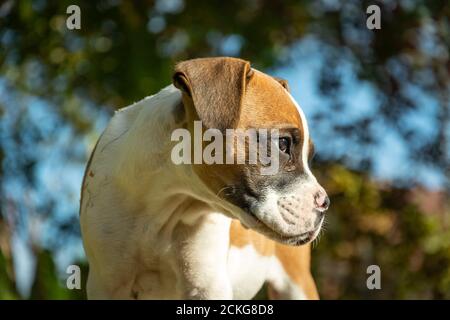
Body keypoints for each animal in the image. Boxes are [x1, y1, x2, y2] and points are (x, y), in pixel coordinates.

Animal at [79, 56, 328, 298]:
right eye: (283, 143)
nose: (325, 203)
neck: (167, 198)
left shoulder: (207, 285)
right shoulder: (108, 283)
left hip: (296, 282)